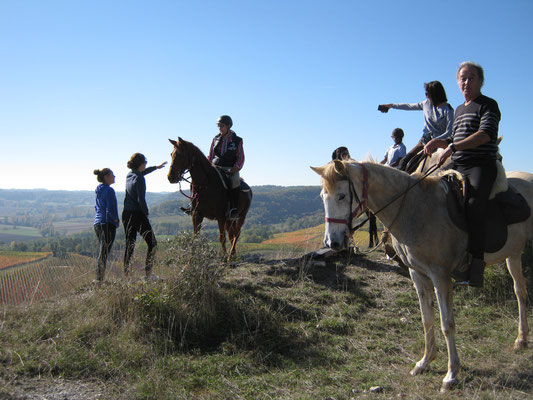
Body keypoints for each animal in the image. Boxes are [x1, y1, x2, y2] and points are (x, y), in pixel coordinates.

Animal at [310, 159, 528, 390]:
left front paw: (451, 373)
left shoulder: (440, 276)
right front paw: (425, 362)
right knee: (520, 290)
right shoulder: (418, 274)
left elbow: (447, 324)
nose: (332, 242)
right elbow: (426, 318)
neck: (414, 209)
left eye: (342, 196)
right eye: (323, 196)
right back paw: (521, 339)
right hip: (513, 253)